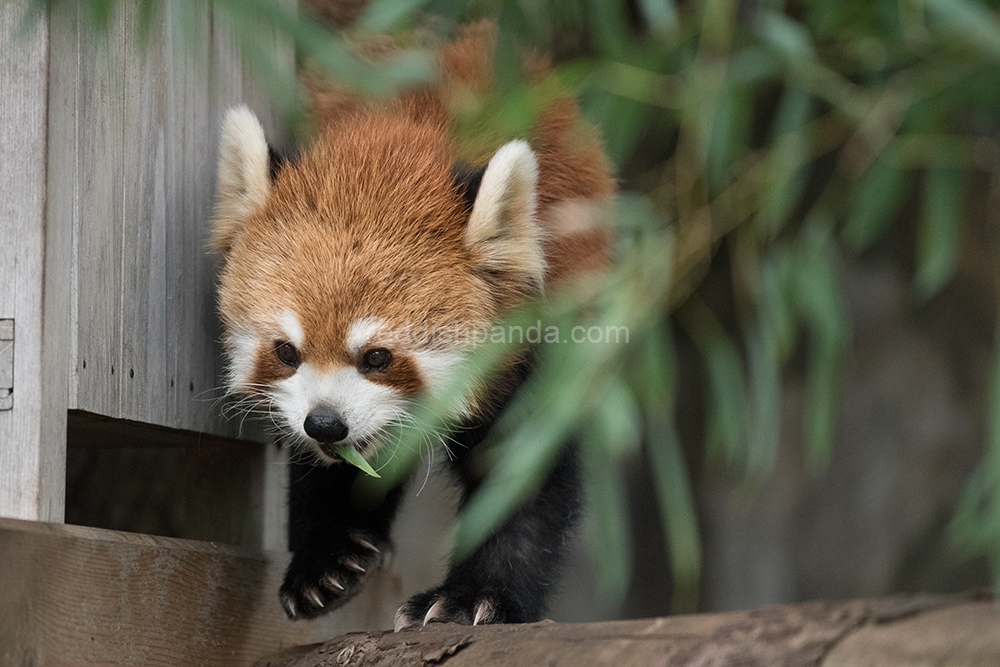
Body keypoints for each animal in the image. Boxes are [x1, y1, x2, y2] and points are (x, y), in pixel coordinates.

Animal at [213, 24, 608, 632]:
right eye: (286, 351)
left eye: (377, 356)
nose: (325, 423)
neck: (397, 144)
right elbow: (328, 473)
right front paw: (326, 560)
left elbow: (522, 480)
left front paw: (477, 596)